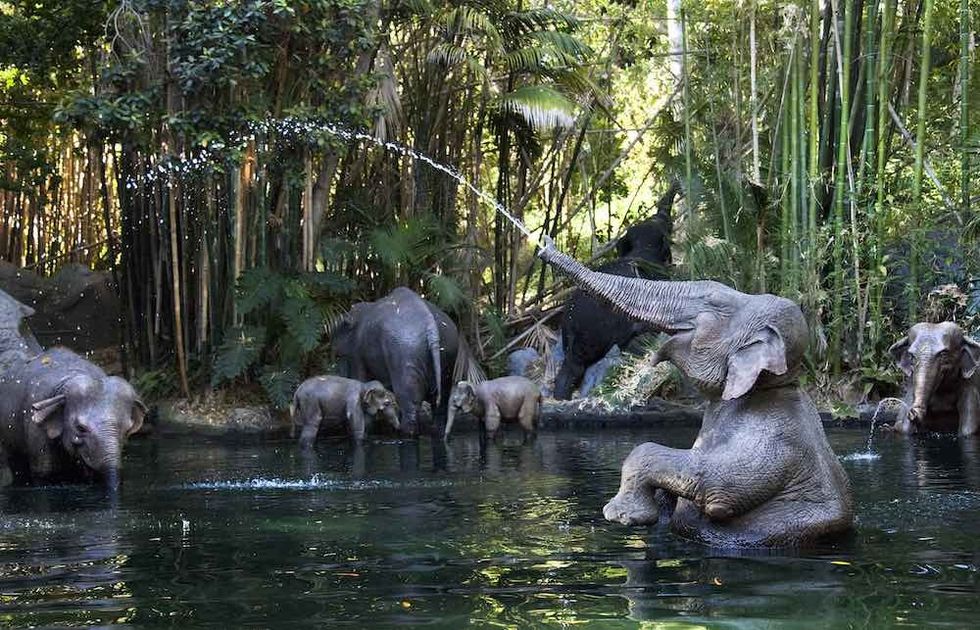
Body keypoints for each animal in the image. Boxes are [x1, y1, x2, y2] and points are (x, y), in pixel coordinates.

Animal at [332, 287, 480, 437]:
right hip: (448, 348)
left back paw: (405, 433)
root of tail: (431, 326)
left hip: (405, 353)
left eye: (339, 356)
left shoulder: (357, 354)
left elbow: (361, 379)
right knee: (442, 401)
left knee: (409, 403)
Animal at [537, 237, 853, 547]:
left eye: (713, 303)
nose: (545, 246)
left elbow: (717, 490)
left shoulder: (773, 439)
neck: (774, 384)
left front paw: (622, 515)